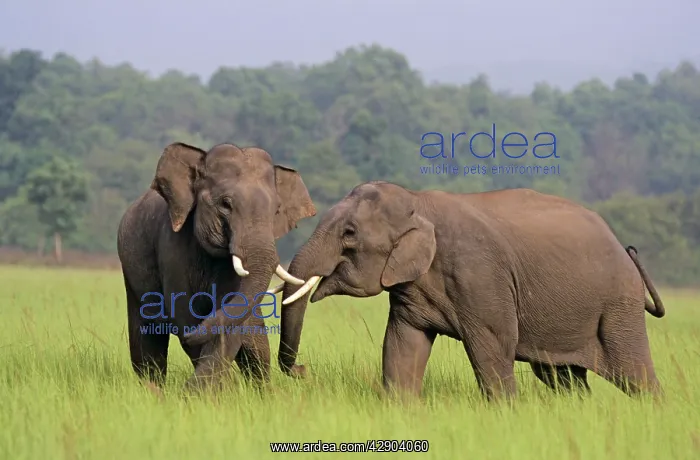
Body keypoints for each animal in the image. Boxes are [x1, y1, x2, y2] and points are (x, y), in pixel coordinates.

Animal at [116, 142, 316, 389]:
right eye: (226, 204)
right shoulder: (171, 248)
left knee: (257, 346)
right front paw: (215, 389)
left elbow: (231, 323)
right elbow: (185, 314)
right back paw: (154, 390)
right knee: (147, 340)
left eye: (276, 210)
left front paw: (215, 390)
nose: (304, 369)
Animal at [266, 181, 666, 399]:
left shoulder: (480, 277)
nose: (302, 370)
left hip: (617, 308)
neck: (417, 200)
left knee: (635, 376)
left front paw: (506, 413)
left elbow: (492, 348)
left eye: (349, 234)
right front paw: (402, 406)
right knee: (562, 378)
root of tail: (623, 250)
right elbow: (402, 345)